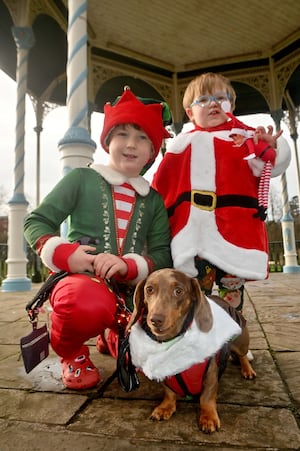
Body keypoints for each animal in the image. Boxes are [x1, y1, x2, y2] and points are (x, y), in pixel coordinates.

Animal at [126, 268, 255, 434]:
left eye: (178, 291)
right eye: (149, 289)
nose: (155, 320)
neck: (171, 341)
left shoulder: (211, 373)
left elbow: (206, 398)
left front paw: (208, 417)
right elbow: (169, 393)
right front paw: (165, 407)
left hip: (240, 340)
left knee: (243, 355)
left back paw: (247, 370)